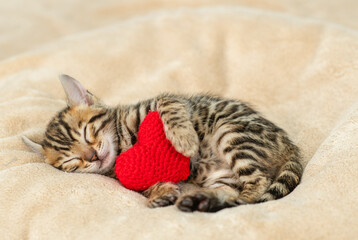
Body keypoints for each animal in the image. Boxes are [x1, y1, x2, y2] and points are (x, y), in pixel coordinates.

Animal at [21, 74, 302, 212]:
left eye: (86, 131)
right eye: (71, 161)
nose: (92, 156)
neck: (123, 145)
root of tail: (289, 144)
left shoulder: (166, 101)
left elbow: (170, 107)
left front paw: (184, 139)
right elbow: (149, 184)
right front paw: (161, 192)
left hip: (231, 133)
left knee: (257, 185)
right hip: (223, 175)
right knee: (234, 190)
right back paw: (203, 200)